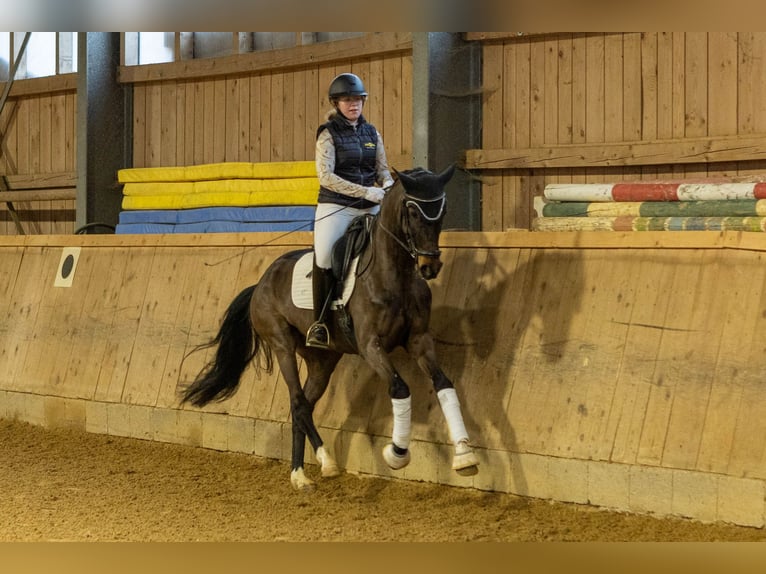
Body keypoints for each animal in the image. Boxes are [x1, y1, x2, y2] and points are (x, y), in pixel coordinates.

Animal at [179, 165, 479, 490]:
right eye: (412, 211)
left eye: (443, 210)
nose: (429, 267)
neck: (393, 274)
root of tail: (260, 283)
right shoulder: (370, 345)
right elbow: (400, 387)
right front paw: (397, 452)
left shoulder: (418, 341)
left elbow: (444, 384)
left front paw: (465, 455)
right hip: (282, 344)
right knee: (298, 402)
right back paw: (319, 465)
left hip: (323, 360)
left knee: (303, 407)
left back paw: (302, 471)